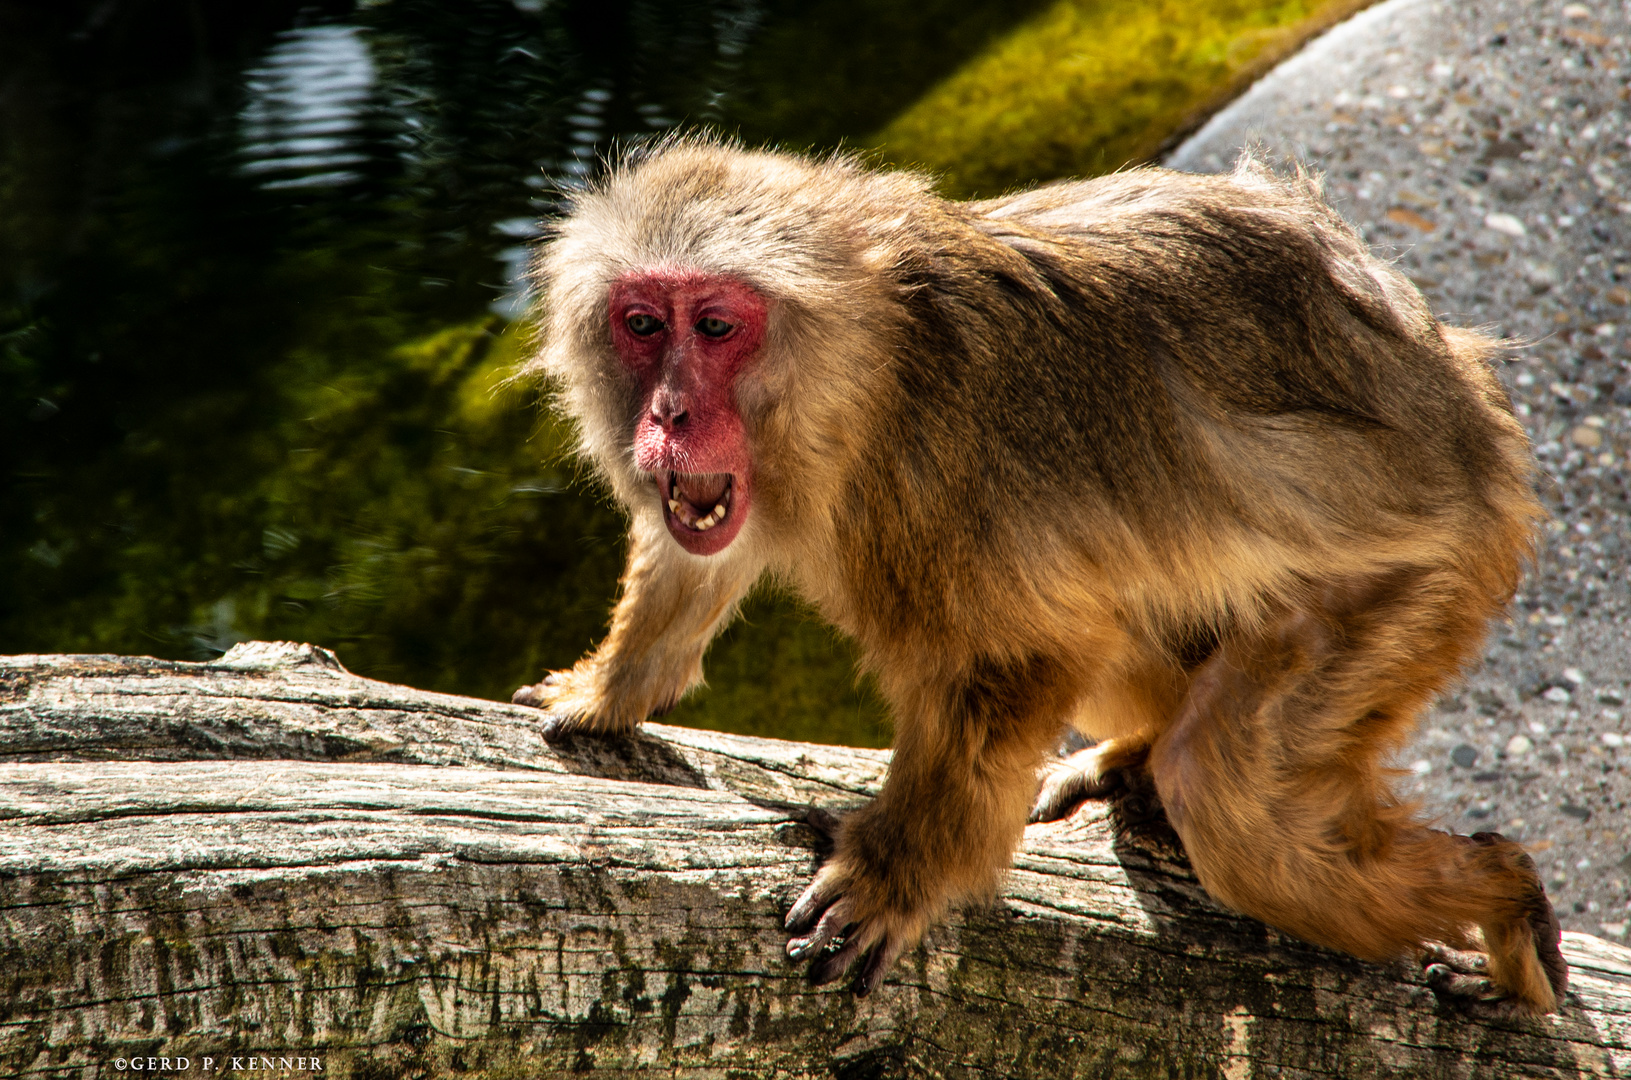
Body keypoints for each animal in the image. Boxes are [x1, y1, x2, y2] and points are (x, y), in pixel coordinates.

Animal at [518, 137, 1565, 1018]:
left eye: (716, 325)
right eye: (641, 324)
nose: (671, 414)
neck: (866, 380)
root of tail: (1470, 400)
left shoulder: (938, 479)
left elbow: (1018, 658)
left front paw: (900, 870)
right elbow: (693, 554)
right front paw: (612, 687)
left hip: (1427, 579)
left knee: (1229, 802)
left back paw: (1504, 898)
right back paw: (1140, 750)